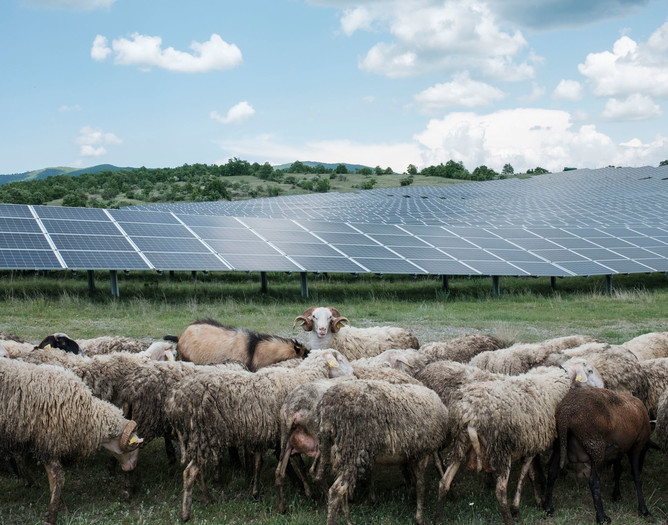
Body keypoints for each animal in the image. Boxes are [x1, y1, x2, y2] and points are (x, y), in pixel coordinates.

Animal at [0, 358, 144, 525]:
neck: (86, 413)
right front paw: (52, 514)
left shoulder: (41, 440)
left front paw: (57, 504)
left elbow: (50, 477)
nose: (131, 469)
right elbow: (57, 476)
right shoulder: (49, 440)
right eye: (133, 449)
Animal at [165, 348, 354, 521]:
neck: (299, 377)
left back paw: (207, 498)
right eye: (341, 360)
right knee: (190, 472)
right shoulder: (284, 436)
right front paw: (306, 490)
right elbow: (298, 465)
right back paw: (187, 513)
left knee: (197, 471)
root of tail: (176, 398)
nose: (354, 374)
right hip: (204, 434)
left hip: (198, 437)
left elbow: (262, 463)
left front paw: (257, 491)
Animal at [312, 379, 449, 525]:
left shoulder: (413, 454)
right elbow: (421, 485)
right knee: (336, 491)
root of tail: (327, 408)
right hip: (354, 449)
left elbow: (417, 482)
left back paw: (349, 521)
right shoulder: (423, 452)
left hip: (342, 452)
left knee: (343, 491)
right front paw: (420, 518)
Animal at [437, 359, 603, 525]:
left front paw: (537, 500)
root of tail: (471, 416)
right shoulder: (534, 443)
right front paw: (517, 509)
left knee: (444, 482)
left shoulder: (528, 442)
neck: (558, 381)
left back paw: (439, 517)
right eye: (590, 371)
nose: (602, 387)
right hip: (501, 448)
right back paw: (509, 519)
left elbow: (531, 475)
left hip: (461, 443)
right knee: (500, 490)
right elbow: (524, 476)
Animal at [543, 387, 652, 523]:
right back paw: (601, 517)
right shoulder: (637, 445)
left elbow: (618, 470)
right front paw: (644, 509)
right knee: (594, 481)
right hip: (595, 446)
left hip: (560, 443)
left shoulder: (619, 450)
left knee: (552, 472)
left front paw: (616, 494)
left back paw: (548, 507)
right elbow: (637, 477)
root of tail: (565, 414)